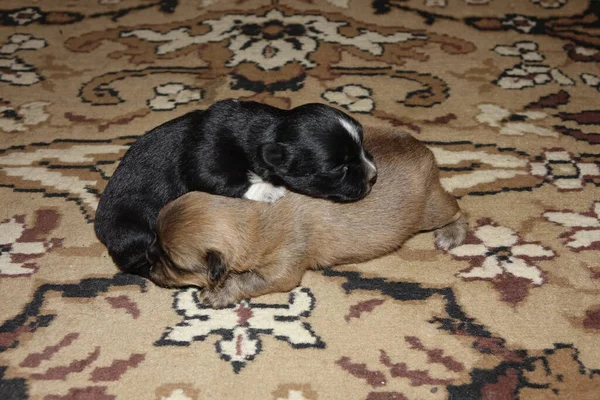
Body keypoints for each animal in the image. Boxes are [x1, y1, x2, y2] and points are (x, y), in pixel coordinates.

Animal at [93, 99, 376, 278]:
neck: (268, 132)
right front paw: (269, 189)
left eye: (362, 146)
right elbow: (229, 181)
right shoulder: (203, 163)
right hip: (132, 229)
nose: (374, 176)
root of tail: (100, 230)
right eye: (339, 168)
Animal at [148, 126, 466, 308]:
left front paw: (218, 294)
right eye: (155, 242)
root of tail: (421, 148)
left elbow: (245, 281)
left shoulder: (281, 271)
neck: (254, 219)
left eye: (173, 263)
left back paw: (452, 234)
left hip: (430, 210)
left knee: (457, 208)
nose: (148, 268)